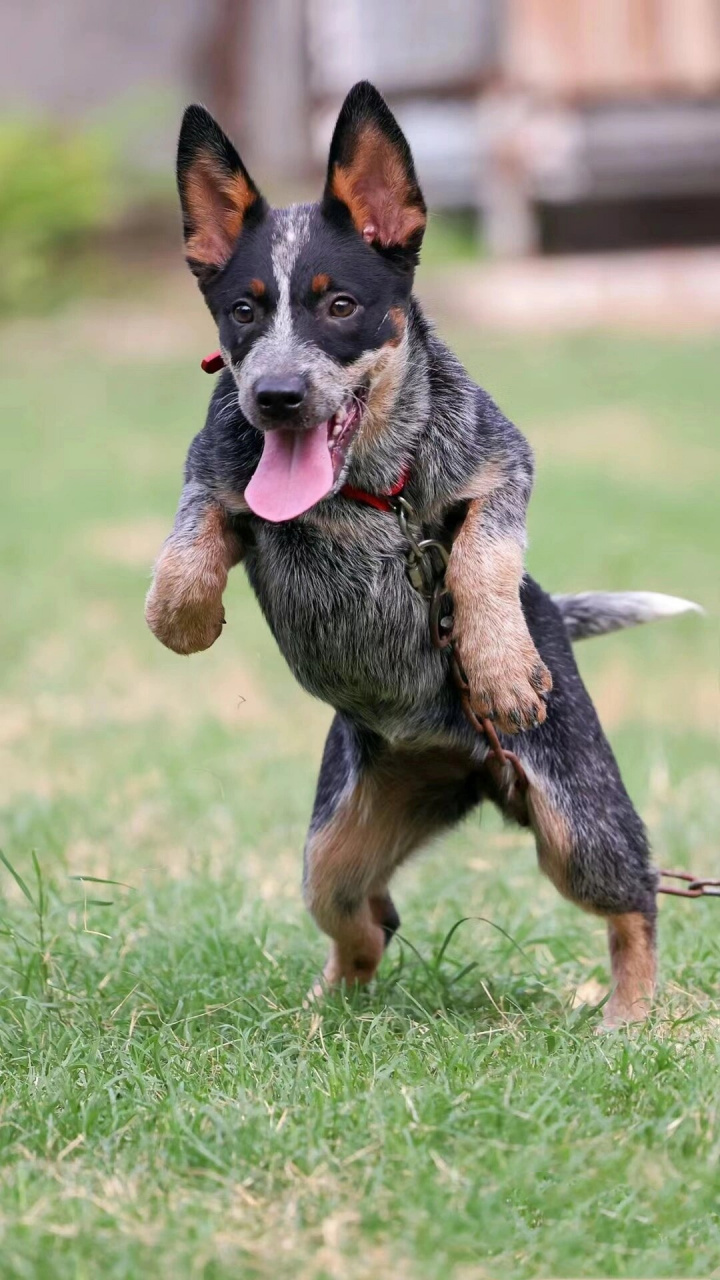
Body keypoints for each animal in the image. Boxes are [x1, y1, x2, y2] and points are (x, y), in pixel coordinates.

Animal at [146, 80, 702, 1024]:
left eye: (340, 306)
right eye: (243, 310)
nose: (276, 396)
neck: (365, 488)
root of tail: (461, 767)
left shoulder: (505, 458)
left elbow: (483, 552)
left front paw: (500, 666)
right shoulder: (212, 467)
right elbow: (190, 536)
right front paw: (184, 615)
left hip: (579, 822)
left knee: (637, 900)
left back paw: (629, 1015)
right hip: (334, 843)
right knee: (366, 919)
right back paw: (328, 1005)